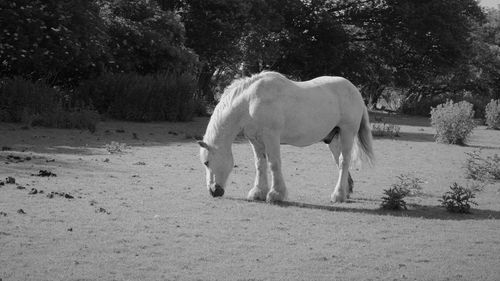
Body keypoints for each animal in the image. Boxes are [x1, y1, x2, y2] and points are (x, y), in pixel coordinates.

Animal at [197, 70, 374, 201]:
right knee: (339, 160)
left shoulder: (271, 137)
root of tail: (355, 91)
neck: (250, 101)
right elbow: (260, 164)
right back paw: (347, 190)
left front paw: (276, 194)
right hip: (334, 137)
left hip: (347, 132)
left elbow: (274, 164)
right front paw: (258, 192)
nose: (214, 191)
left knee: (344, 161)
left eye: (206, 162)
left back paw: (338, 195)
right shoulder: (255, 140)